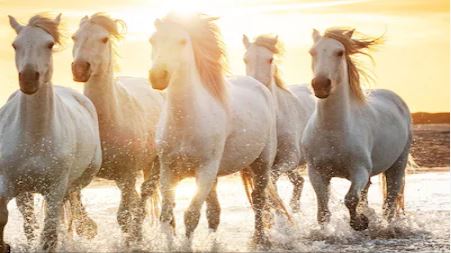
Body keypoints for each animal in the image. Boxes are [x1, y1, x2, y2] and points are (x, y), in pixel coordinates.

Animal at [1, 14, 102, 251]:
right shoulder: (8, 184)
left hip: (74, 183)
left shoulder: (55, 189)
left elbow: (49, 236)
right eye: (15, 44)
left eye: (49, 44)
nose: (29, 78)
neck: (35, 138)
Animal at [72, 13, 166, 243]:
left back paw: (138, 233)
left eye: (104, 39)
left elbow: (123, 216)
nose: (80, 69)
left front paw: (131, 238)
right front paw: (87, 227)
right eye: (74, 37)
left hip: (154, 164)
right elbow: (75, 198)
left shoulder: (128, 174)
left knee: (144, 194)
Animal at [147, 13, 282, 247]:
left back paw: (259, 238)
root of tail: (258, 86)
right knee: (214, 211)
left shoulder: (206, 170)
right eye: (153, 40)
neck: (186, 121)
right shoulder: (168, 170)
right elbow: (167, 215)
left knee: (258, 199)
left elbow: (191, 215)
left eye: (182, 41)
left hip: (262, 164)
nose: (158, 76)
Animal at [304, 28, 414, 231]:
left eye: (340, 52)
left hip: (398, 165)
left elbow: (350, 199)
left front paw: (360, 222)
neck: (333, 130)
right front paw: (326, 233)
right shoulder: (316, 173)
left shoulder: (359, 171)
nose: (321, 85)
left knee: (390, 202)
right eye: (312, 52)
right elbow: (323, 212)